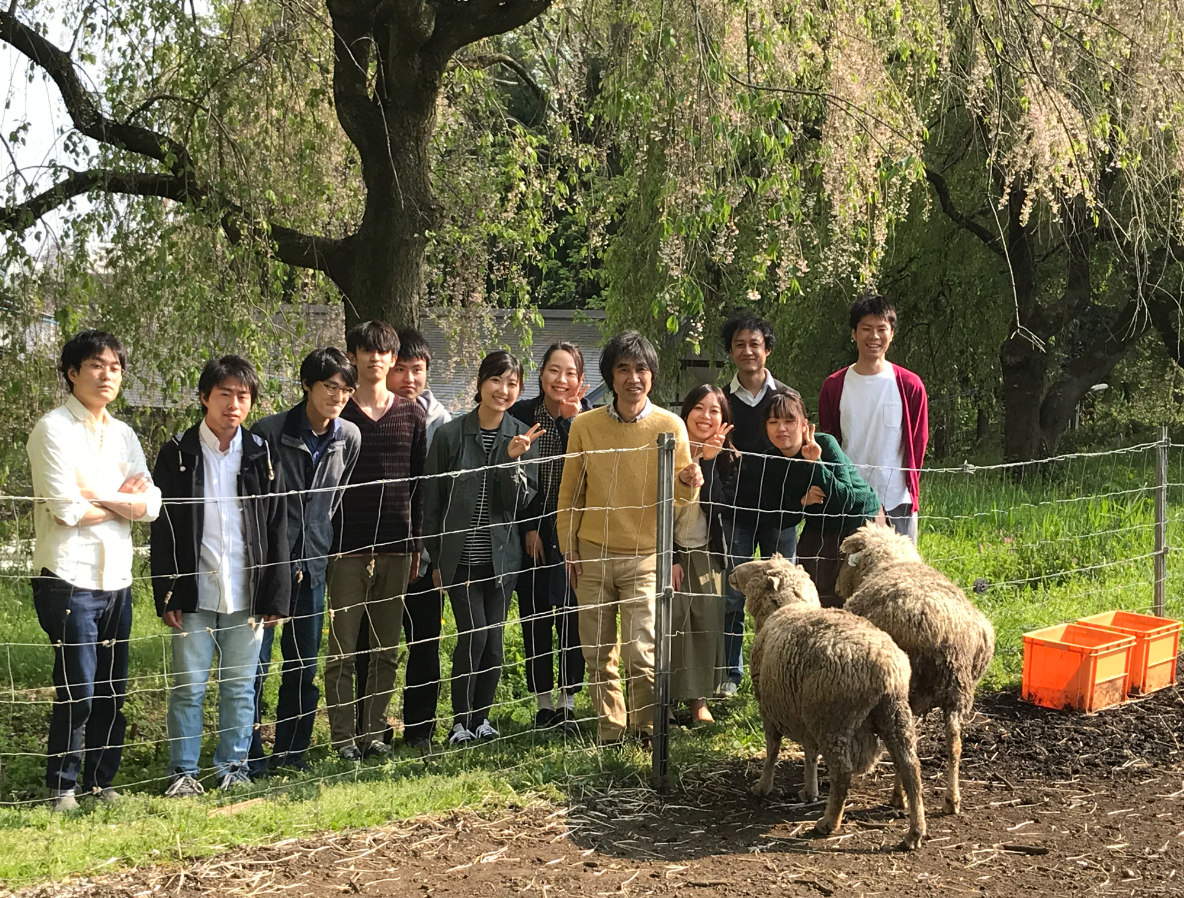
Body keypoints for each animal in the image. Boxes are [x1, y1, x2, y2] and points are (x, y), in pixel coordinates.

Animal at [730, 555, 926, 850]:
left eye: (760, 569)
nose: (732, 571)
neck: (789, 608)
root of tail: (884, 668)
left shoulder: (770, 707)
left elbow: (773, 750)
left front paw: (763, 786)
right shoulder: (802, 710)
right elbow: (810, 752)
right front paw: (809, 790)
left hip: (832, 718)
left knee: (843, 772)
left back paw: (828, 822)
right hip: (894, 713)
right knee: (910, 767)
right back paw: (914, 832)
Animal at [837, 523, 996, 816]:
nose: (837, 586)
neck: (890, 562)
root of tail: (944, 630)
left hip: (907, 689)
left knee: (906, 747)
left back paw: (899, 797)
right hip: (958, 691)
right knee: (954, 742)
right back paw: (952, 800)